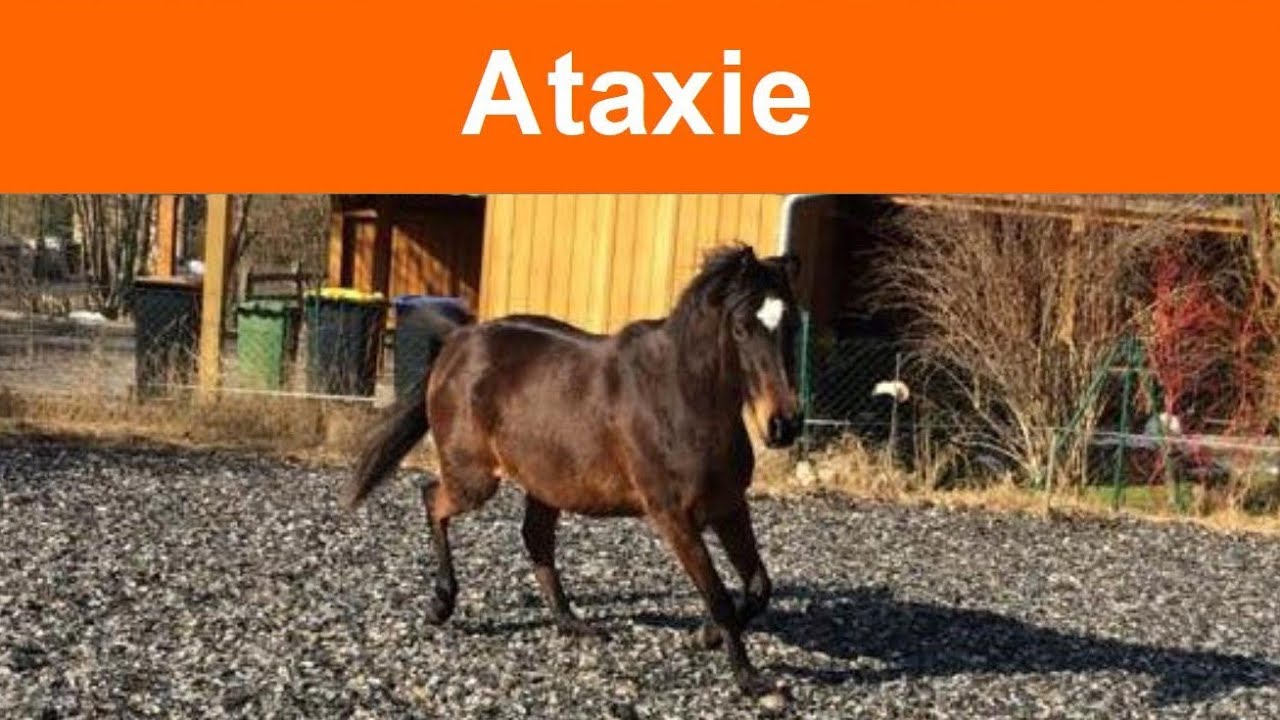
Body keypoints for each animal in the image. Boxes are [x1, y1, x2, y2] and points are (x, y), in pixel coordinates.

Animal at [341, 243, 804, 696]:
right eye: (741, 327)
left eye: (794, 324)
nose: (784, 425)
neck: (682, 399)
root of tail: (457, 341)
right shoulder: (674, 518)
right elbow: (719, 595)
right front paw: (751, 680)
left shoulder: (729, 507)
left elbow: (759, 585)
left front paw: (705, 636)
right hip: (475, 480)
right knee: (432, 499)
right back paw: (441, 604)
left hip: (545, 483)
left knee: (535, 539)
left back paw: (571, 623)